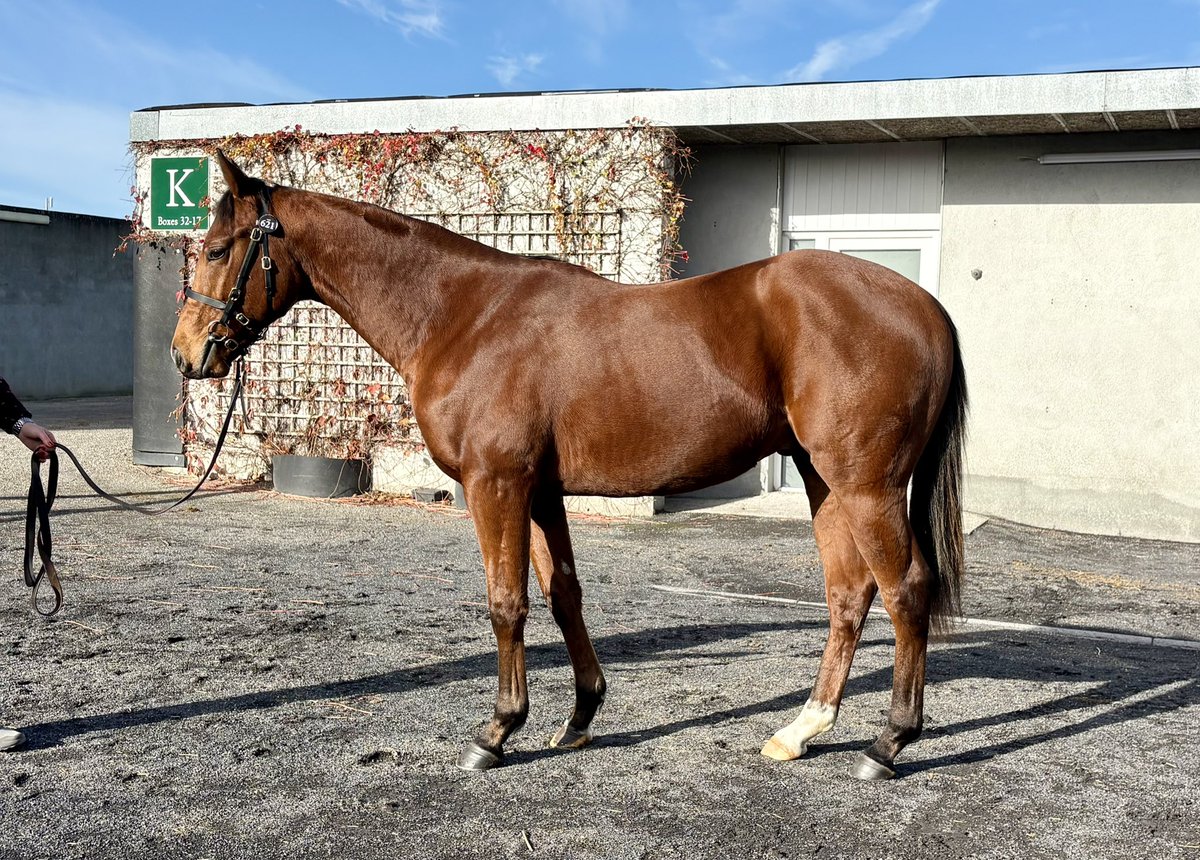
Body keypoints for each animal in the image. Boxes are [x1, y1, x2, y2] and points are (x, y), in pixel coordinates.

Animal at [170, 151, 967, 780]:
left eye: (217, 248)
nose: (187, 354)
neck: (465, 314)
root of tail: (925, 307)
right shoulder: (540, 491)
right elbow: (563, 596)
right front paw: (581, 716)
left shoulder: (495, 485)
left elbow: (507, 602)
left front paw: (496, 732)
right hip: (821, 479)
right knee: (849, 595)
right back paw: (801, 730)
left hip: (863, 484)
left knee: (905, 590)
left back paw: (888, 743)